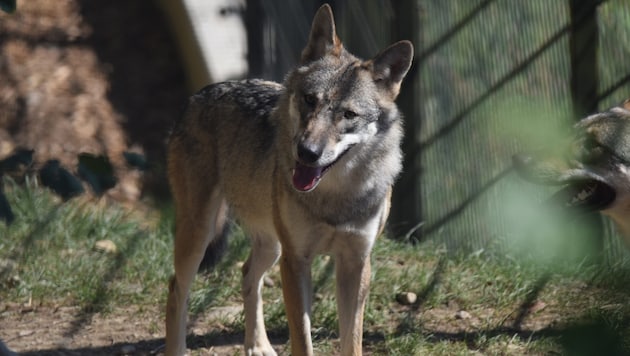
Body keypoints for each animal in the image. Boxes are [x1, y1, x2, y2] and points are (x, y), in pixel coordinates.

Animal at [164, 3, 414, 356]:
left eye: (348, 115)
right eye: (310, 99)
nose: (307, 152)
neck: (334, 197)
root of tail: (200, 93)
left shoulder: (355, 262)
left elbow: (352, 341)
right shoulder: (296, 261)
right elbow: (303, 339)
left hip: (271, 246)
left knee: (246, 274)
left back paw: (257, 345)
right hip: (201, 234)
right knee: (176, 289)